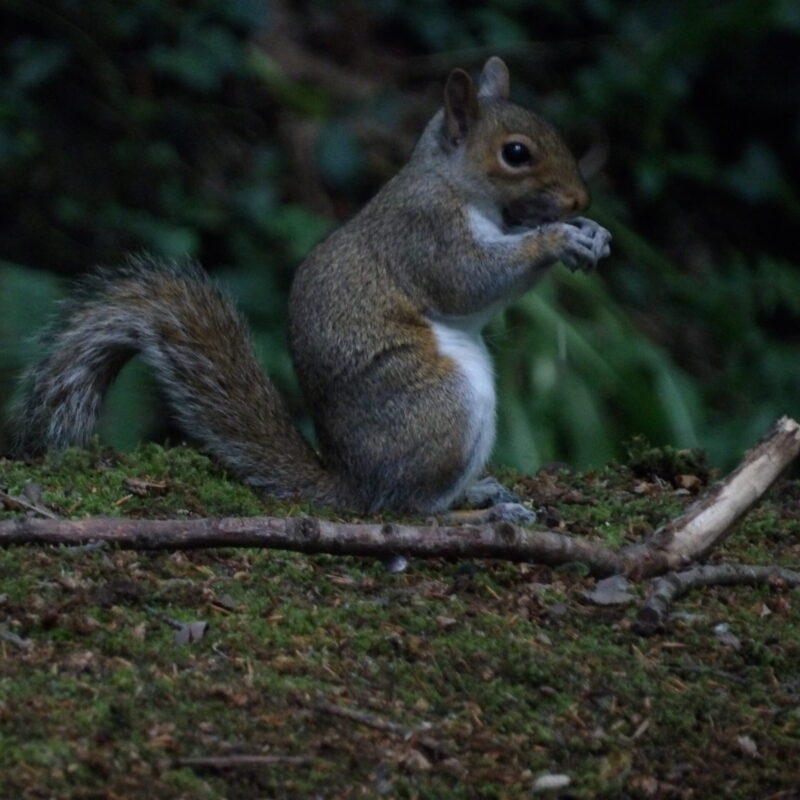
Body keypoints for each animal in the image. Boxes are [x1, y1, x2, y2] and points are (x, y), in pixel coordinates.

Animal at [13, 57, 611, 516]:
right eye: (516, 153)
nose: (580, 200)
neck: (452, 183)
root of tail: (354, 483)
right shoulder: (426, 233)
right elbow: (469, 281)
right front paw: (557, 239)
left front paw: (591, 232)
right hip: (442, 406)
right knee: (411, 508)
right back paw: (475, 514)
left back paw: (480, 493)